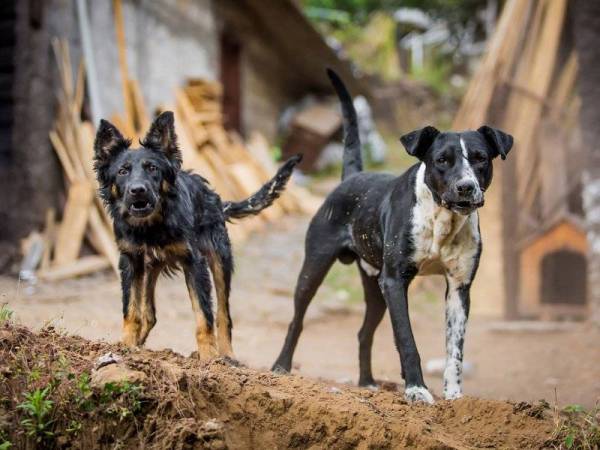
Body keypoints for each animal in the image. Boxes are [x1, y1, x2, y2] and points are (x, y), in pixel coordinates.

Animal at [94, 113, 300, 362]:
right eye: (122, 171)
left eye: (152, 168)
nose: (138, 190)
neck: (152, 226)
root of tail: (215, 199)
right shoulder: (131, 261)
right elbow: (131, 310)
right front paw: (126, 346)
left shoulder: (195, 263)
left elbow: (204, 316)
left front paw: (209, 358)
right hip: (150, 267)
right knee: (149, 314)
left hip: (220, 259)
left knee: (223, 314)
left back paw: (227, 355)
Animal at [272, 70, 510, 404]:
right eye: (442, 160)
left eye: (480, 158)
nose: (466, 187)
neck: (441, 219)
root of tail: (351, 177)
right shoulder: (395, 281)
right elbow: (407, 340)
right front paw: (416, 390)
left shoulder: (459, 288)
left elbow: (455, 350)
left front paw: (454, 397)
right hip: (315, 268)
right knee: (297, 320)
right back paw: (280, 367)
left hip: (374, 286)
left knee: (363, 332)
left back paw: (367, 382)